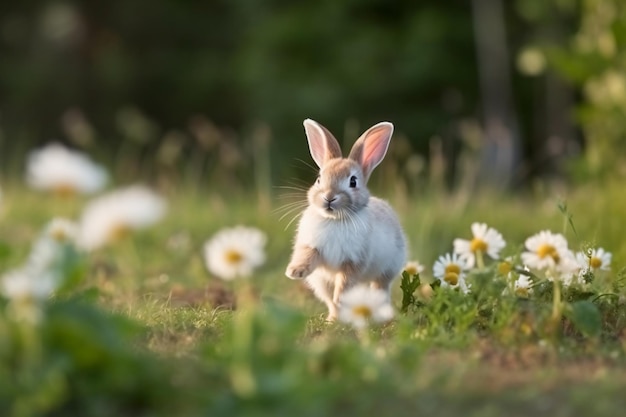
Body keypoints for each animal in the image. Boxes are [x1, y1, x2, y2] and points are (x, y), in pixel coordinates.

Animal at [286, 118, 408, 320]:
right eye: (319, 179)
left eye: (353, 181)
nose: (329, 197)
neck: (334, 219)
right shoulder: (313, 247)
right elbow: (308, 256)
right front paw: (294, 272)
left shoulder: (353, 262)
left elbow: (344, 283)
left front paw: (341, 298)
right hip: (321, 283)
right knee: (329, 300)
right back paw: (333, 320)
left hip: (386, 271)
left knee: (379, 290)